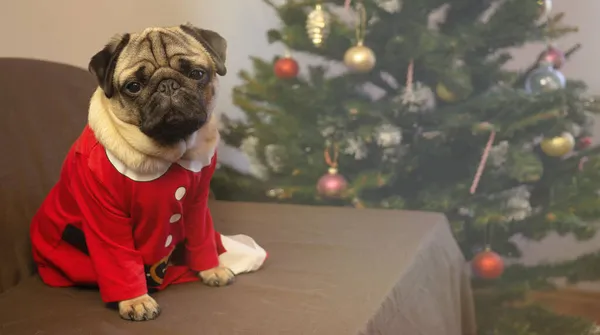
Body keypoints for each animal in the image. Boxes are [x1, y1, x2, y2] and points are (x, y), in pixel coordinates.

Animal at [29, 23, 234, 322]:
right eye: (133, 87)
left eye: (196, 74)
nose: (167, 85)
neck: (170, 152)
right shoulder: (106, 218)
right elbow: (120, 260)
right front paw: (135, 300)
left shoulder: (197, 204)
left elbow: (201, 235)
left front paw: (211, 268)